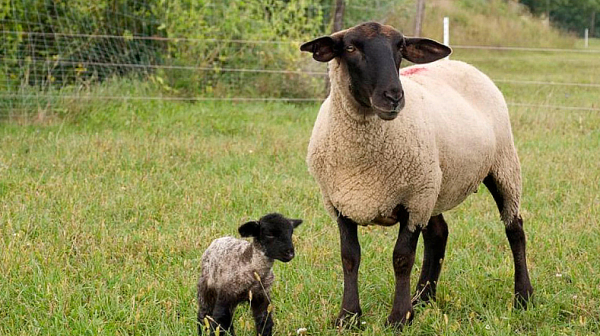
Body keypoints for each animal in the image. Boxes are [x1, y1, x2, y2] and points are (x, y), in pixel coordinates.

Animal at [302, 21, 532, 328]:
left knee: (514, 228)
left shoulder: (413, 202)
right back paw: (423, 297)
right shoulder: (340, 203)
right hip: (434, 183)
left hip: (501, 165)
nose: (393, 96)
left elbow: (402, 258)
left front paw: (399, 318)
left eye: (400, 47)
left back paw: (523, 297)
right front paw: (348, 316)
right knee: (438, 234)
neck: (361, 162)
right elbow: (349, 257)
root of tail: (460, 63)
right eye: (350, 48)